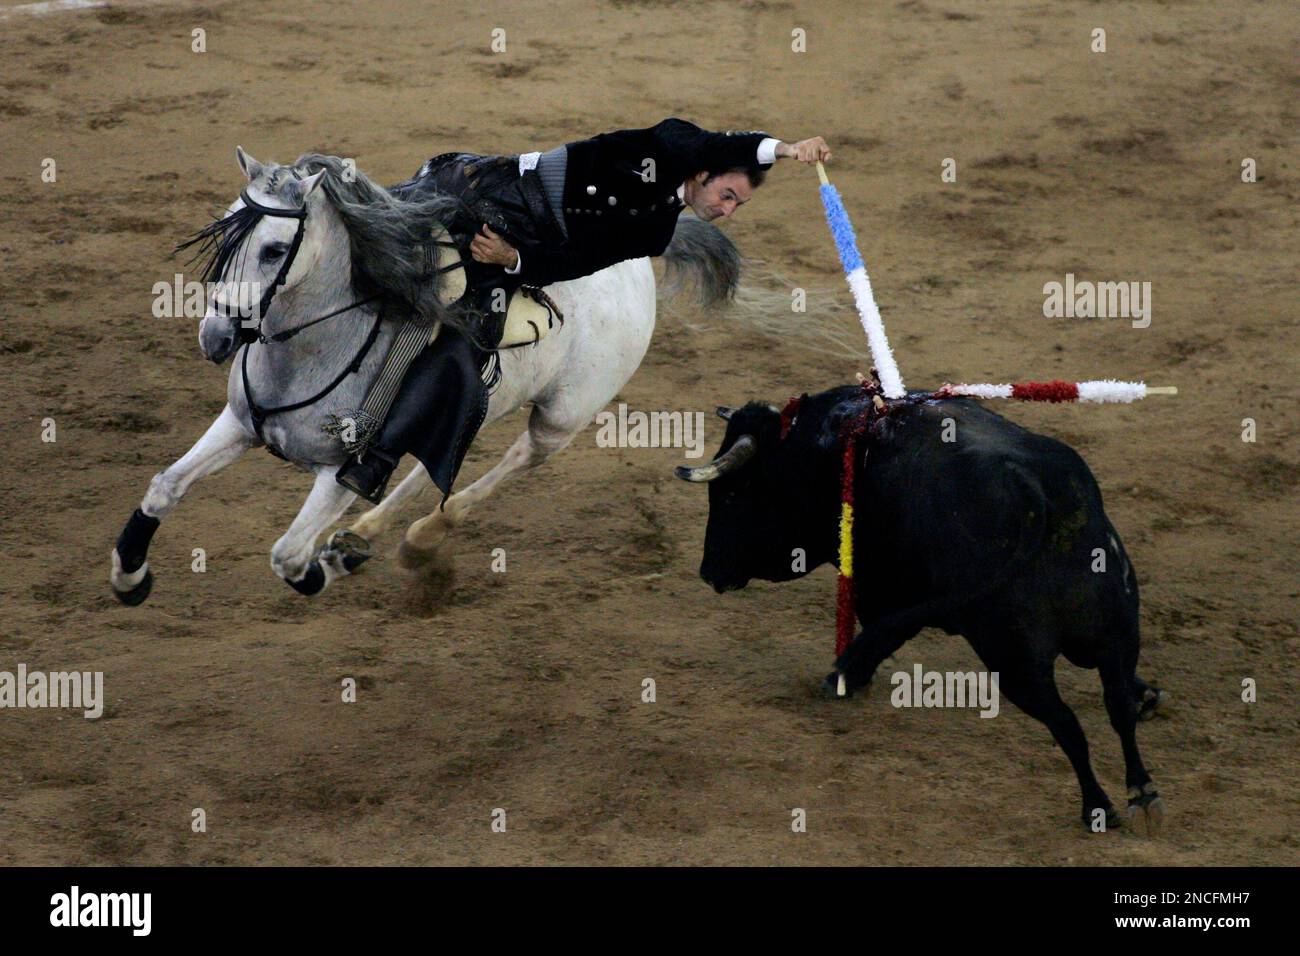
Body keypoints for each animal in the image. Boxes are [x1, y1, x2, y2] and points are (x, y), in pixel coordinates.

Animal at [676, 385, 1166, 832]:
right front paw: (1149, 693)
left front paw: (844, 677)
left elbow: (881, 631)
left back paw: (1099, 805)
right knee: (1117, 702)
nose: (708, 570)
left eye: (733, 494)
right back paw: (1141, 788)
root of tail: (1035, 494)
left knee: (1065, 722)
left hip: (1013, 659)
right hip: (1116, 628)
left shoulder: (884, 586)